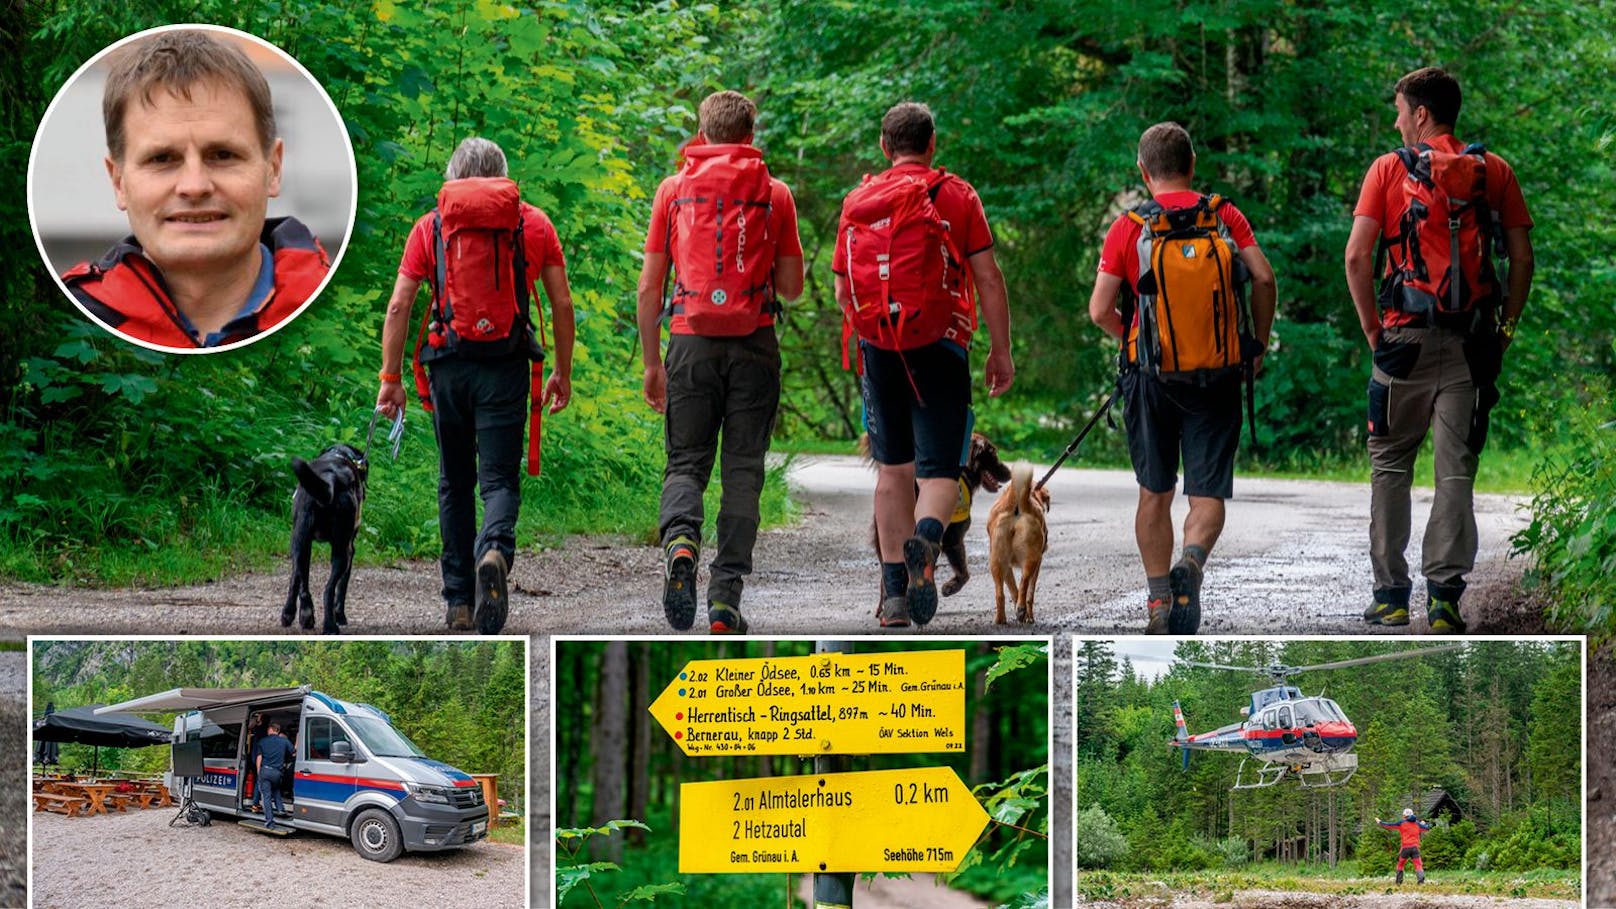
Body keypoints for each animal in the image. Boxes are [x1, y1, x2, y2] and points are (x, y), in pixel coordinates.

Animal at [287, 443, 371, 634]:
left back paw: (299, 615)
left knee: (301, 583)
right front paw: (340, 616)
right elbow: (342, 587)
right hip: (342, 550)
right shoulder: (350, 550)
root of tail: (330, 477)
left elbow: (296, 578)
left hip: (300, 541)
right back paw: (331, 626)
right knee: (329, 589)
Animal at [982, 462, 1047, 617]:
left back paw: (1001, 619)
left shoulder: (1007, 566)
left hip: (996, 561)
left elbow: (1012, 590)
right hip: (1032, 558)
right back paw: (1021, 609)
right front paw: (1028, 616)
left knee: (1000, 594)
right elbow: (1030, 592)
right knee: (1024, 582)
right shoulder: (1038, 563)